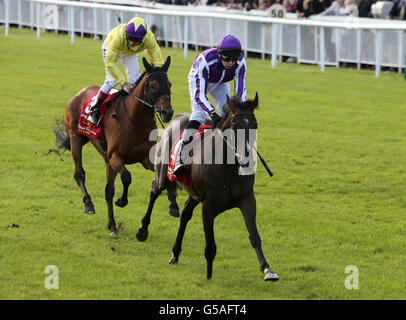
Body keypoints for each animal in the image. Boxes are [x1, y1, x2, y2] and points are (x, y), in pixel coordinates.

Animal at [55, 56, 179, 234]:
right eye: (153, 85)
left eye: (169, 84)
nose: (167, 112)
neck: (135, 120)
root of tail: (80, 93)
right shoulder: (115, 156)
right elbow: (127, 177)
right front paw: (122, 200)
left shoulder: (146, 159)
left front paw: (173, 205)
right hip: (76, 139)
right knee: (79, 173)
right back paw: (89, 204)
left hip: (103, 156)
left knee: (108, 190)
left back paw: (112, 224)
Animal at [136, 94, 280, 282]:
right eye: (234, 123)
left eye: (255, 124)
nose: (246, 157)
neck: (229, 168)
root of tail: (175, 118)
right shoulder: (208, 206)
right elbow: (210, 243)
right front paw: (209, 273)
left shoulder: (247, 199)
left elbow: (254, 235)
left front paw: (267, 269)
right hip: (163, 176)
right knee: (154, 190)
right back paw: (142, 230)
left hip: (194, 194)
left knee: (185, 214)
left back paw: (175, 253)